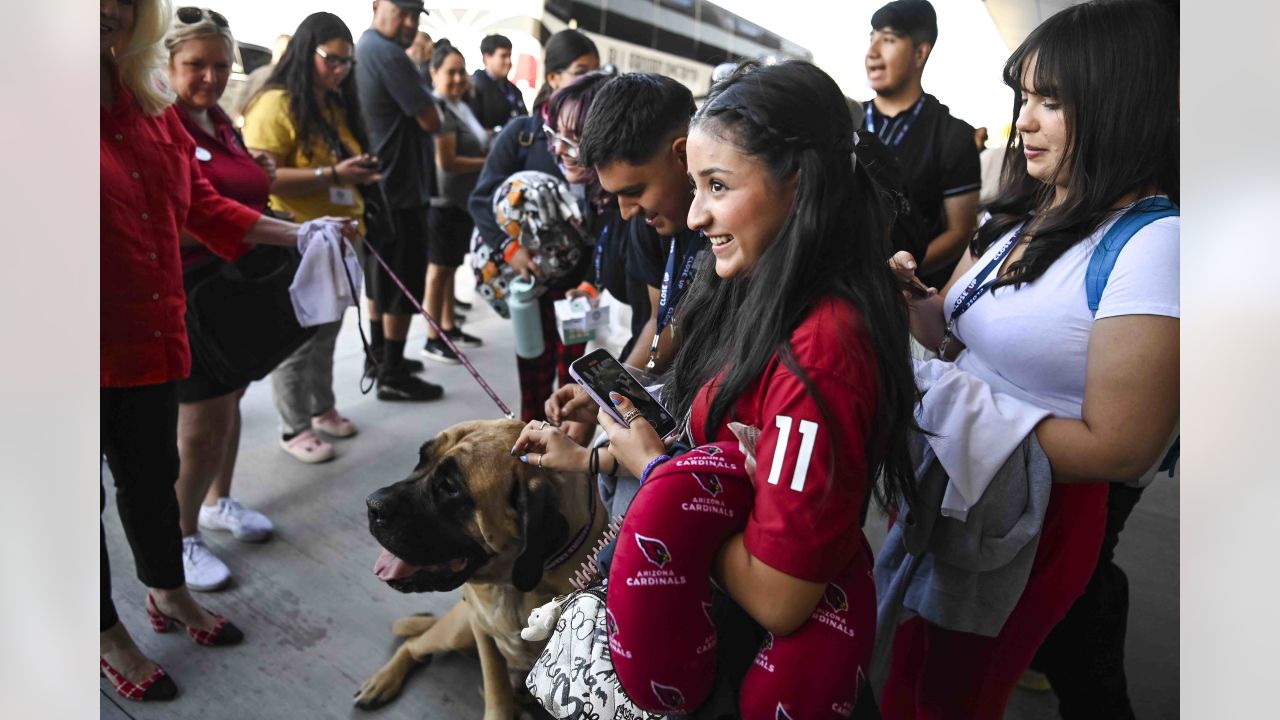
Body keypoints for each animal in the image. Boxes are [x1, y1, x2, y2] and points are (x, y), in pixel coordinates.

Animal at [353, 417, 606, 712]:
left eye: (450, 487)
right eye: (421, 459)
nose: (372, 505)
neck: (512, 588)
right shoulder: (481, 631)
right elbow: (496, 685)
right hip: (456, 631)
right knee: (413, 645)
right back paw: (382, 681)